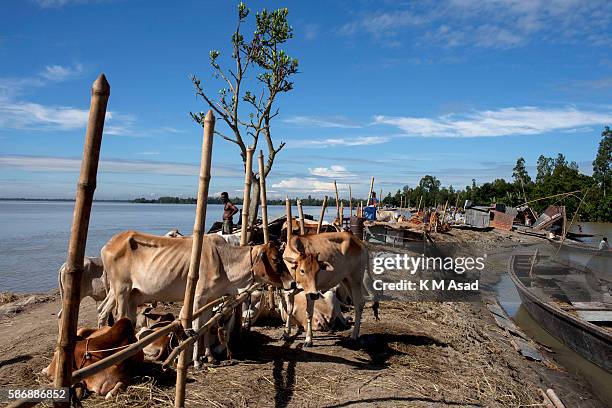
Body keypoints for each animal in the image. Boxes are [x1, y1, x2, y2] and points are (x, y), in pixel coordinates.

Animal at [101, 230, 296, 366]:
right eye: (275, 259)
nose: (293, 283)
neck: (223, 260)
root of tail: (109, 244)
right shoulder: (198, 299)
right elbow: (196, 327)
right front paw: (195, 361)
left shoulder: (209, 300)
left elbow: (206, 326)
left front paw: (209, 357)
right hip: (122, 290)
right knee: (119, 318)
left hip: (129, 294)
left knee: (109, 313)